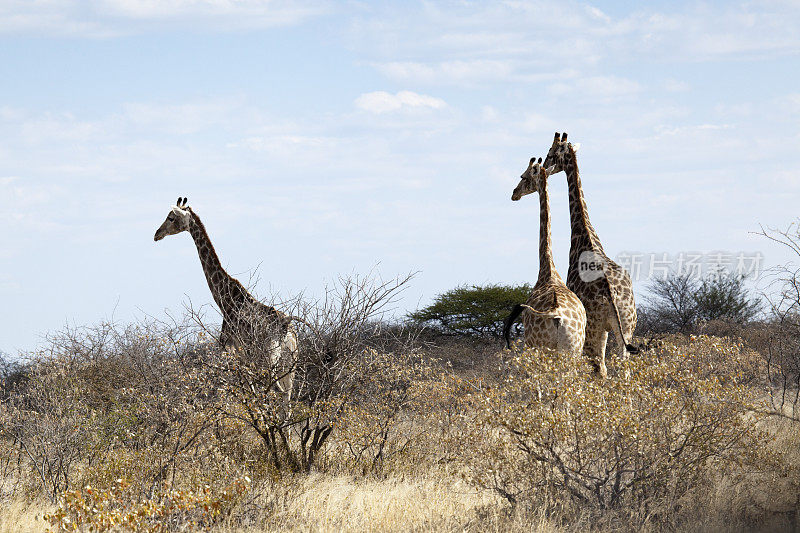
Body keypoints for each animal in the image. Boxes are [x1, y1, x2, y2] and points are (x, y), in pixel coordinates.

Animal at [154, 197, 296, 396]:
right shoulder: (242, 354)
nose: (156, 234)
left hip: (269, 357)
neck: (225, 297)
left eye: (171, 218)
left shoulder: (227, 346)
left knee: (278, 390)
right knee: (288, 395)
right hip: (290, 363)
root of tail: (286, 328)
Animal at [506, 154, 588, 356]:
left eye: (523, 176)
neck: (548, 269)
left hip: (540, 347)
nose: (514, 193)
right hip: (574, 348)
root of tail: (556, 314)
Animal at [540, 130, 640, 376]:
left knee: (600, 366)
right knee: (622, 366)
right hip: (626, 325)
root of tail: (612, 295)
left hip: (596, 328)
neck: (586, 237)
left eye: (550, 153)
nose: (545, 167)